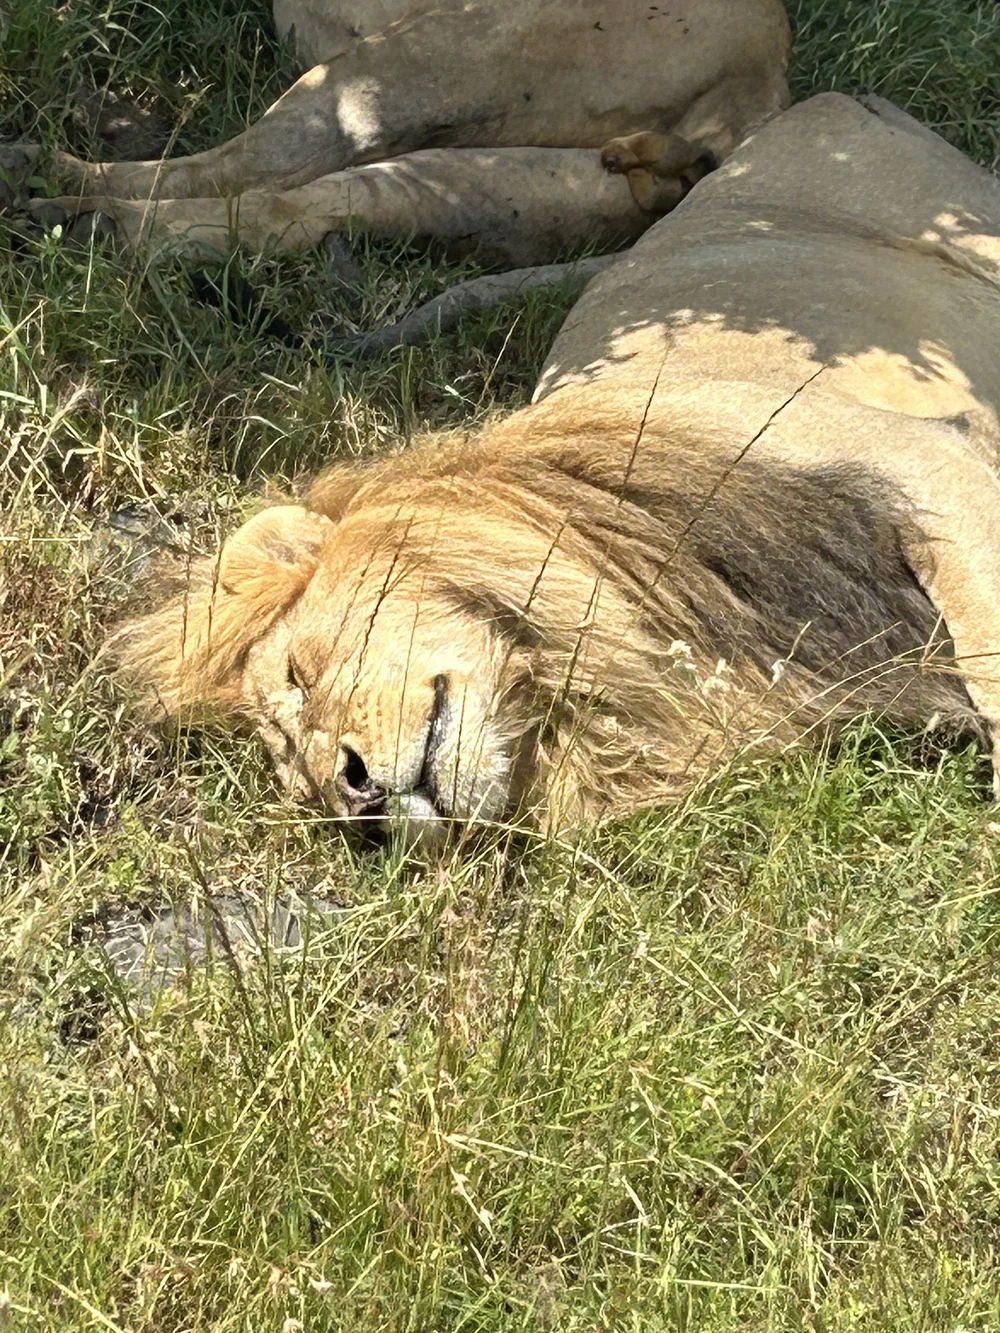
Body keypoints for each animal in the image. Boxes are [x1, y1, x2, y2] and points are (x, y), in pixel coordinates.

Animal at [20, 0, 791, 264]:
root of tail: (763, 78)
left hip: (408, 63)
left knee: (241, 168)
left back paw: (51, 179)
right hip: (486, 187)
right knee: (285, 208)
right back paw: (79, 215)